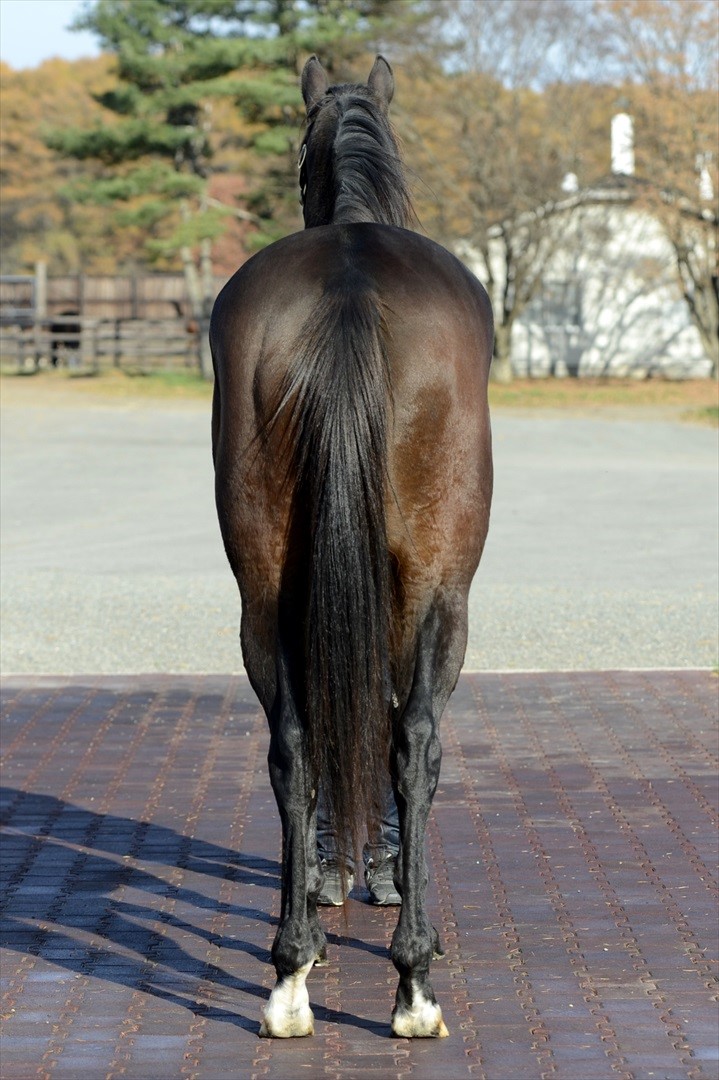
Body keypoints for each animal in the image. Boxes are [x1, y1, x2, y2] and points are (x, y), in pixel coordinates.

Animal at [207, 56, 492, 1036]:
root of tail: (349, 285)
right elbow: (397, 727)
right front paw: (375, 873)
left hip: (263, 589)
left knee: (292, 743)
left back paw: (291, 966)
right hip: (441, 589)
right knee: (416, 742)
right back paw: (412, 978)